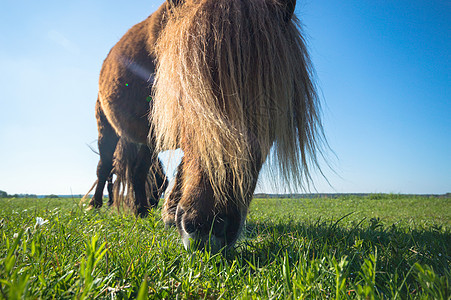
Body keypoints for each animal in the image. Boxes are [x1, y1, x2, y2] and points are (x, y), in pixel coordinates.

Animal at [86, 0, 324, 252]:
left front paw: (168, 213)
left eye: (271, 104)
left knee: (139, 171)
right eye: (182, 98)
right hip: (107, 127)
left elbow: (180, 168)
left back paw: (141, 209)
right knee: (105, 167)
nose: (208, 227)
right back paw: (99, 206)